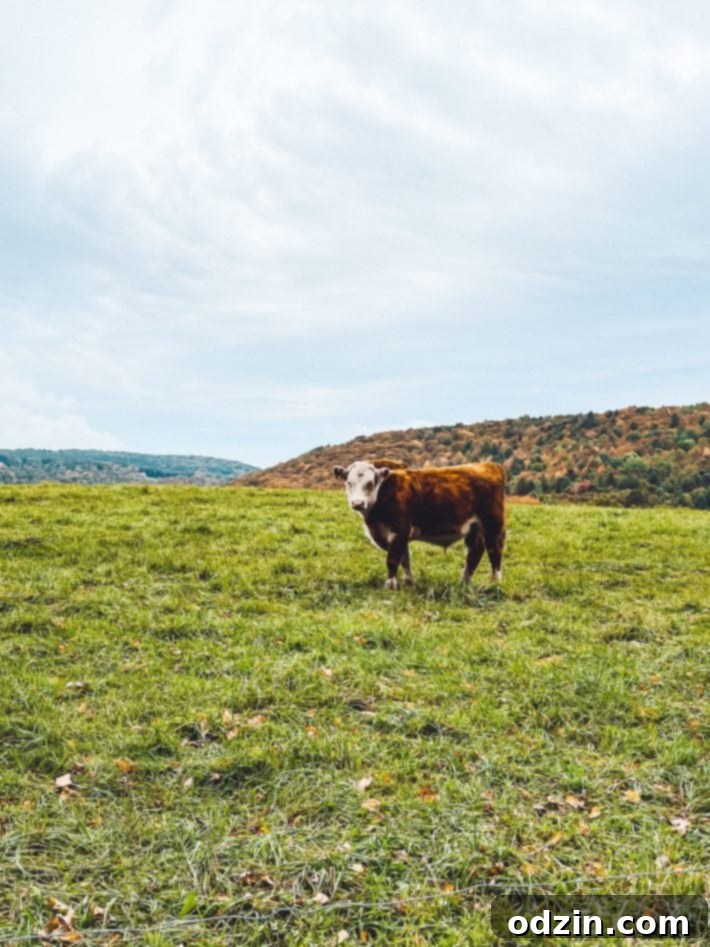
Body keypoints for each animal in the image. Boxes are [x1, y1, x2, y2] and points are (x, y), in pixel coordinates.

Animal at [333, 460, 506, 589]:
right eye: (348, 482)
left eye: (370, 483)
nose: (357, 503)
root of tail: (489, 465)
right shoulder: (399, 536)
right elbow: (405, 559)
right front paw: (408, 582)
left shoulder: (399, 530)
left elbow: (393, 559)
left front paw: (390, 585)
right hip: (474, 528)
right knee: (475, 551)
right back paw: (464, 581)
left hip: (493, 524)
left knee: (494, 550)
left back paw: (495, 582)